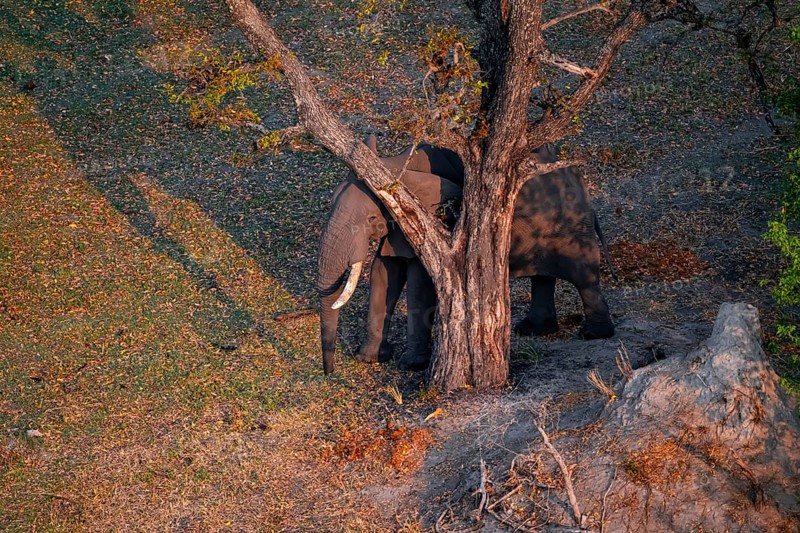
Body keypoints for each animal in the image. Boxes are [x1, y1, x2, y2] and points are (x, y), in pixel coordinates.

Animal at [317, 137, 615, 374]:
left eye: (369, 218)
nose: (329, 372)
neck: (395, 164)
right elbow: (384, 273)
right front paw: (369, 359)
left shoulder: (435, 218)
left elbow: (418, 284)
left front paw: (411, 365)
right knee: (543, 277)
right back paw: (533, 329)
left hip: (572, 225)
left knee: (584, 278)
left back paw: (594, 334)